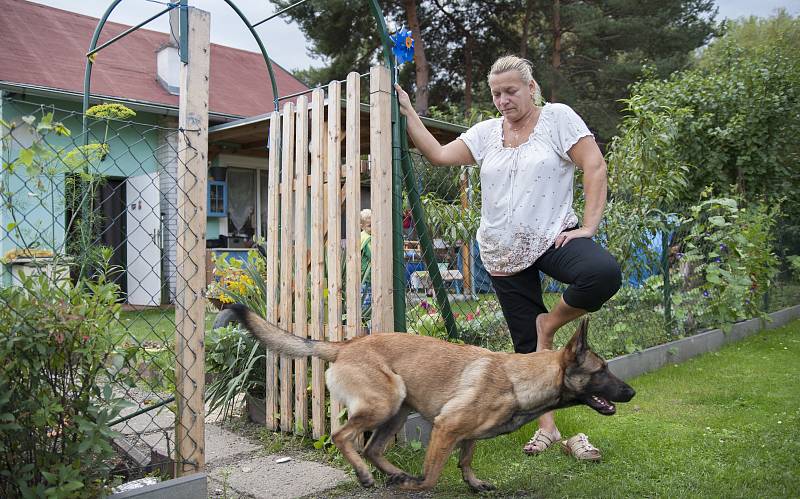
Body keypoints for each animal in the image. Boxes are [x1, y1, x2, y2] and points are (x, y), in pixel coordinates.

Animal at [227, 302, 636, 494]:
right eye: (601, 371)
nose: (631, 392)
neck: (518, 381)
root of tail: (345, 345)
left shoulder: (467, 434)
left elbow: (466, 460)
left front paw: (474, 483)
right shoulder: (445, 428)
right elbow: (432, 476)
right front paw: (416, 486)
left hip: (398, 407)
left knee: (373, 448)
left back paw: (393, 473)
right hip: (387, 400)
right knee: (343, 436)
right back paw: (368, 476)